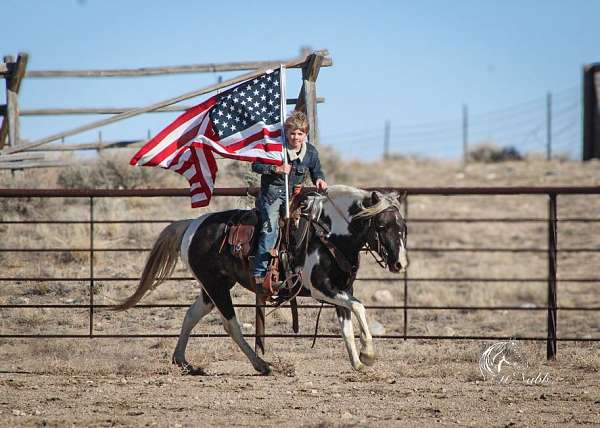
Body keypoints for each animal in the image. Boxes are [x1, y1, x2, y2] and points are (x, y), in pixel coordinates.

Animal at [116, 184, 408, 374]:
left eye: (403, 227)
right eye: (382, 225)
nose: (399, 264)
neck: (329, 234)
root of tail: (192, 224)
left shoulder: (342, 287)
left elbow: (347, 322)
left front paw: (358, 362)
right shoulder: (320, 288)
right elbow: (359, 306)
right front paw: (368, 355)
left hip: (212, 286)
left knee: (192, 314)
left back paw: (182, 361)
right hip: (216, 287)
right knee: (230, 324)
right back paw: (261, 364)